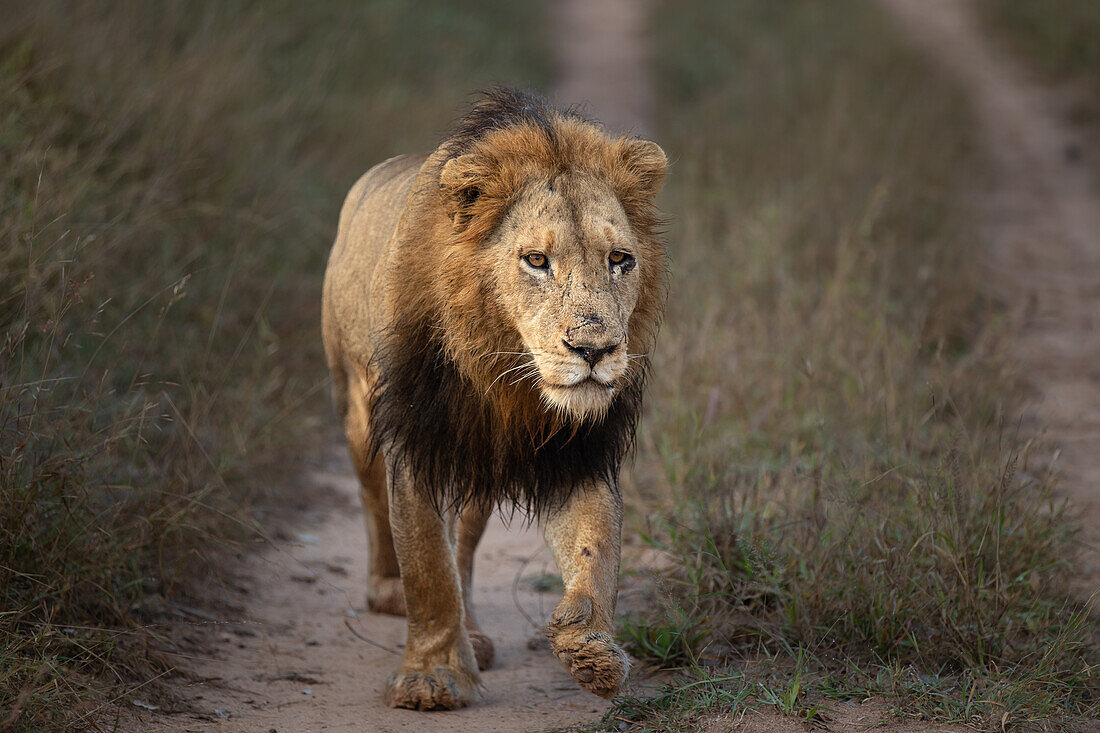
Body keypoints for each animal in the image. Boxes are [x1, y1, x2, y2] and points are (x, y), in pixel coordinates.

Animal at [321, 86, 664, 708]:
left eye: (619, 260)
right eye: (536, 260)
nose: (594, 349)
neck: (508, 378)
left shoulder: (581, 448)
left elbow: (596, 547)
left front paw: (592, 648)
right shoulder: (417, 440)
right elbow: (428, 568)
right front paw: (432, 678)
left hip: (476, 465)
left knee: (465, 552)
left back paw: (476, 635)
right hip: (356, 409)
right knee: (375, 506)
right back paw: (389, 592)